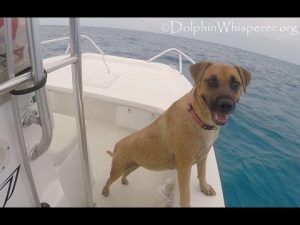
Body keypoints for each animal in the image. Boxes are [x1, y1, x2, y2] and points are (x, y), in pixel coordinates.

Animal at [102, 61, 252, 207]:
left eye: (235, 84)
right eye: (211, 81)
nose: (226, 105)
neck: (199, 118)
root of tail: (117, 145)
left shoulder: (203, 156)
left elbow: (202, 174)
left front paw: (204, 187)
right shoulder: (184, 166)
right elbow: (186, 194)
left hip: (134, 165)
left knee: (125, 174)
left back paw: (124, 180)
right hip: (118, 168)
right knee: (109, 179)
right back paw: (105, 191)